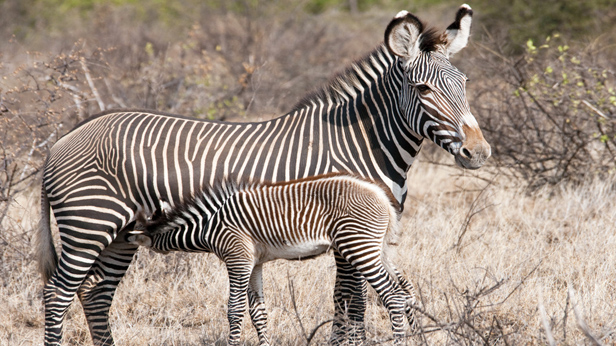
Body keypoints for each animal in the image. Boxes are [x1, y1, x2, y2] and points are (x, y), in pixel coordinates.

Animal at [129, 173, 418, 346]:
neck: (209, 226)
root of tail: (381, 195)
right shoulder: (254, 262)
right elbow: (258, 312)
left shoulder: (237, 257)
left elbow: (234, 309)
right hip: (376, 248)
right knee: (404, 290)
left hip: (359, 247)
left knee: (393, 296)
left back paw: (399, 341)